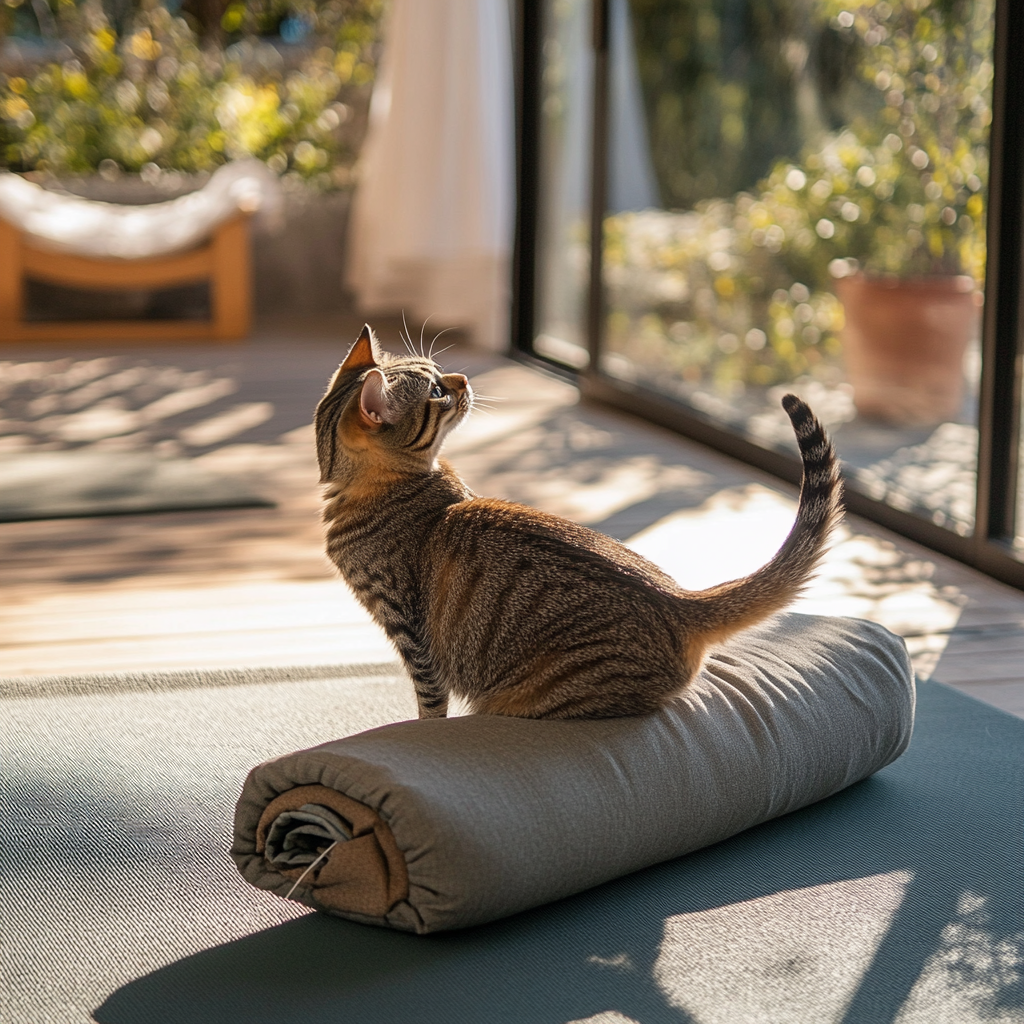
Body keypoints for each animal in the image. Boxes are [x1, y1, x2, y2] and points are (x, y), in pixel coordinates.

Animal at [317, 327, 839, 720]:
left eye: (440, 378)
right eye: (437, 392)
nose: (462, 377)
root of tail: (678, 600)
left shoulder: (412, 636)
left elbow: (430, 705)